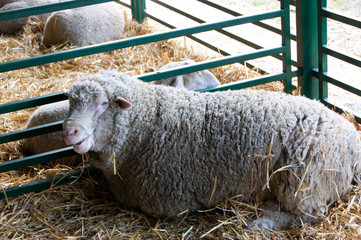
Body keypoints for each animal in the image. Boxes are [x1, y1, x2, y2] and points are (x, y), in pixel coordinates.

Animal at [62, 70, 360, 231]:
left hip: (305, 180)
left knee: (309, 214)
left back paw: (263, 223)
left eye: (102, 104)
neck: (147, 125)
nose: (69, 131)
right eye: (71, 102)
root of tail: (351, 137)